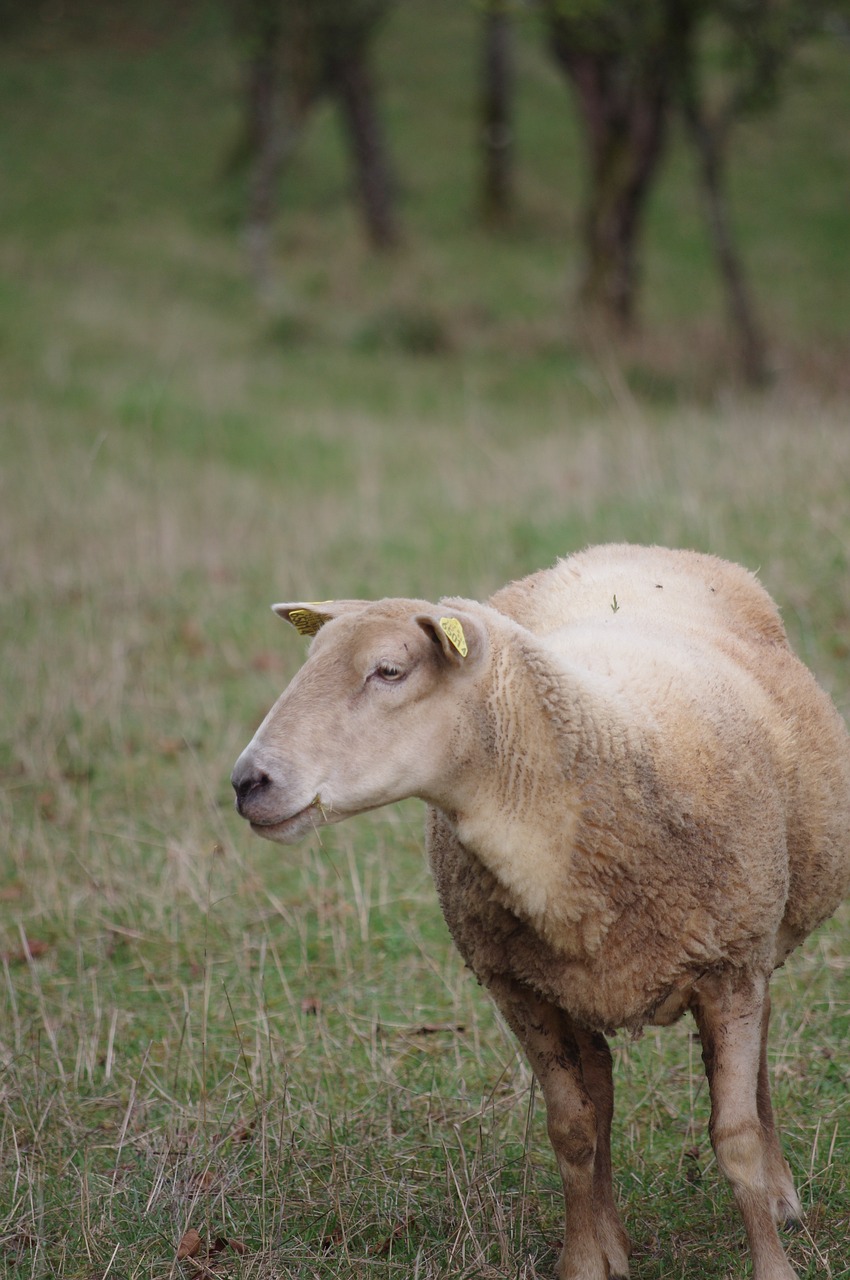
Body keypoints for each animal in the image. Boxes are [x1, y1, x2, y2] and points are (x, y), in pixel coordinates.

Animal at [229, 542, 850, 1280]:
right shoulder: (517, 988)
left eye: (389, 670)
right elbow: (572, 1131)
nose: (247, 782)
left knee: (751, 1065)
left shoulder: (730, 968)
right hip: (581, 983)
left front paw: (773, 1260)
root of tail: (620, 547)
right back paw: (613, 1242)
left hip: (753, 943)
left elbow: (735, 1139)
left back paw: (781, 1196)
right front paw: (583, 1262)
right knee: (601, 1092)